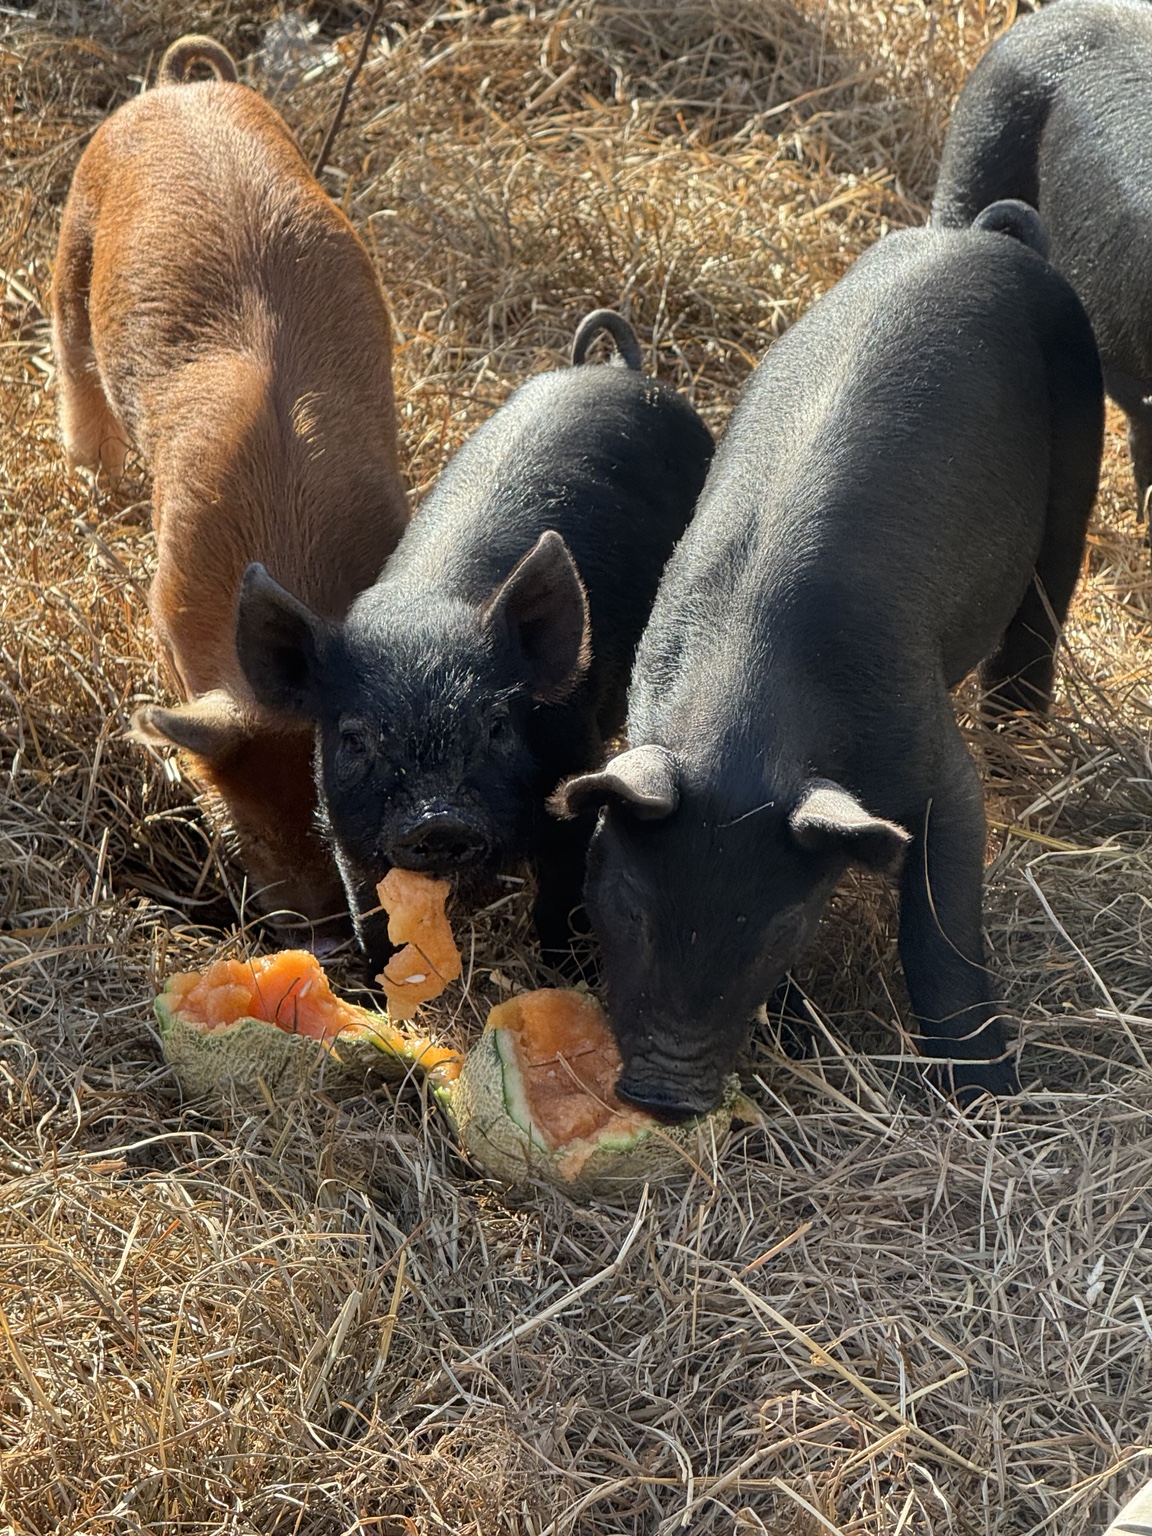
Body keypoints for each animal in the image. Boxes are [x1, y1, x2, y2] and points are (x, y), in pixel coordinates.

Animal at [51, 34, 409, 940]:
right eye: (241, 824)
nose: (324, 934)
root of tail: (178, 91)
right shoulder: (170, 591)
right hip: (74, 238)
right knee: (71, 357)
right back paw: (96, 482)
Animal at [234, 310, 715, 968]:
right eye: (355, 738)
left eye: (496, 726)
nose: (438, 819)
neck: (424, 618)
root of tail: (620, 369)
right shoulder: (342, 825)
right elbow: (371, 917)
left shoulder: (573, 764)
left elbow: (561, 891)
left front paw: (565, 968)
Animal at [554, 208, 1103, 1120]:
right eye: (623, 905)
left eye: (779, 930)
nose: (667, 1093)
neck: (746, 729)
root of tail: (978, 233)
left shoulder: (932, 758)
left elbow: (943, 927)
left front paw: (986, 1100)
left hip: (1081, 446)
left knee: (1045, 603)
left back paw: (1019, 735)